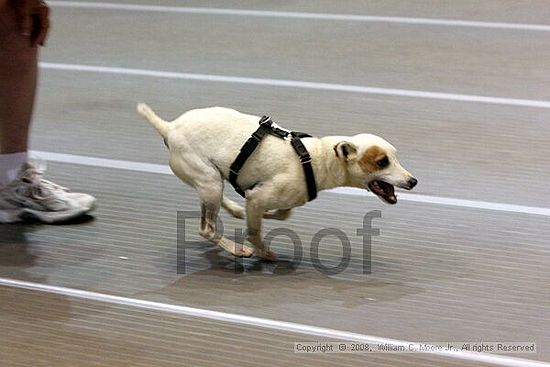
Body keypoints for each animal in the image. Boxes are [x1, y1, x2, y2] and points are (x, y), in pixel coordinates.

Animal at [138, 103, 418, 262]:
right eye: (382, 162)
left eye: (395, 157)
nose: (413, 181)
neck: (315, 158)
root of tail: (169, 127)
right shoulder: (258, 198)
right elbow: (255, 231)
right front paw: (263, 252)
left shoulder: (279, 199)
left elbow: (282, 214)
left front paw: (257, 214)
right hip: (209, 181)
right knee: (206, 229)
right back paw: (237, 249)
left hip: (212, 182)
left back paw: (234, 209)